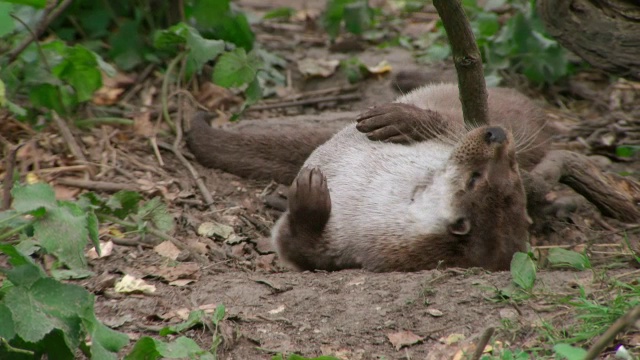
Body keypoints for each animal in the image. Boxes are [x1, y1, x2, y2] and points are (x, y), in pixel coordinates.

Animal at [186, 83, 552, 272]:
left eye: (476, 178)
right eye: (513, 167)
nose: (496, 134)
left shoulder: (353, 249)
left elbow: (297, 248)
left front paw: (310, 196)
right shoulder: (449, 137)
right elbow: (451, 125)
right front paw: (399, 120)